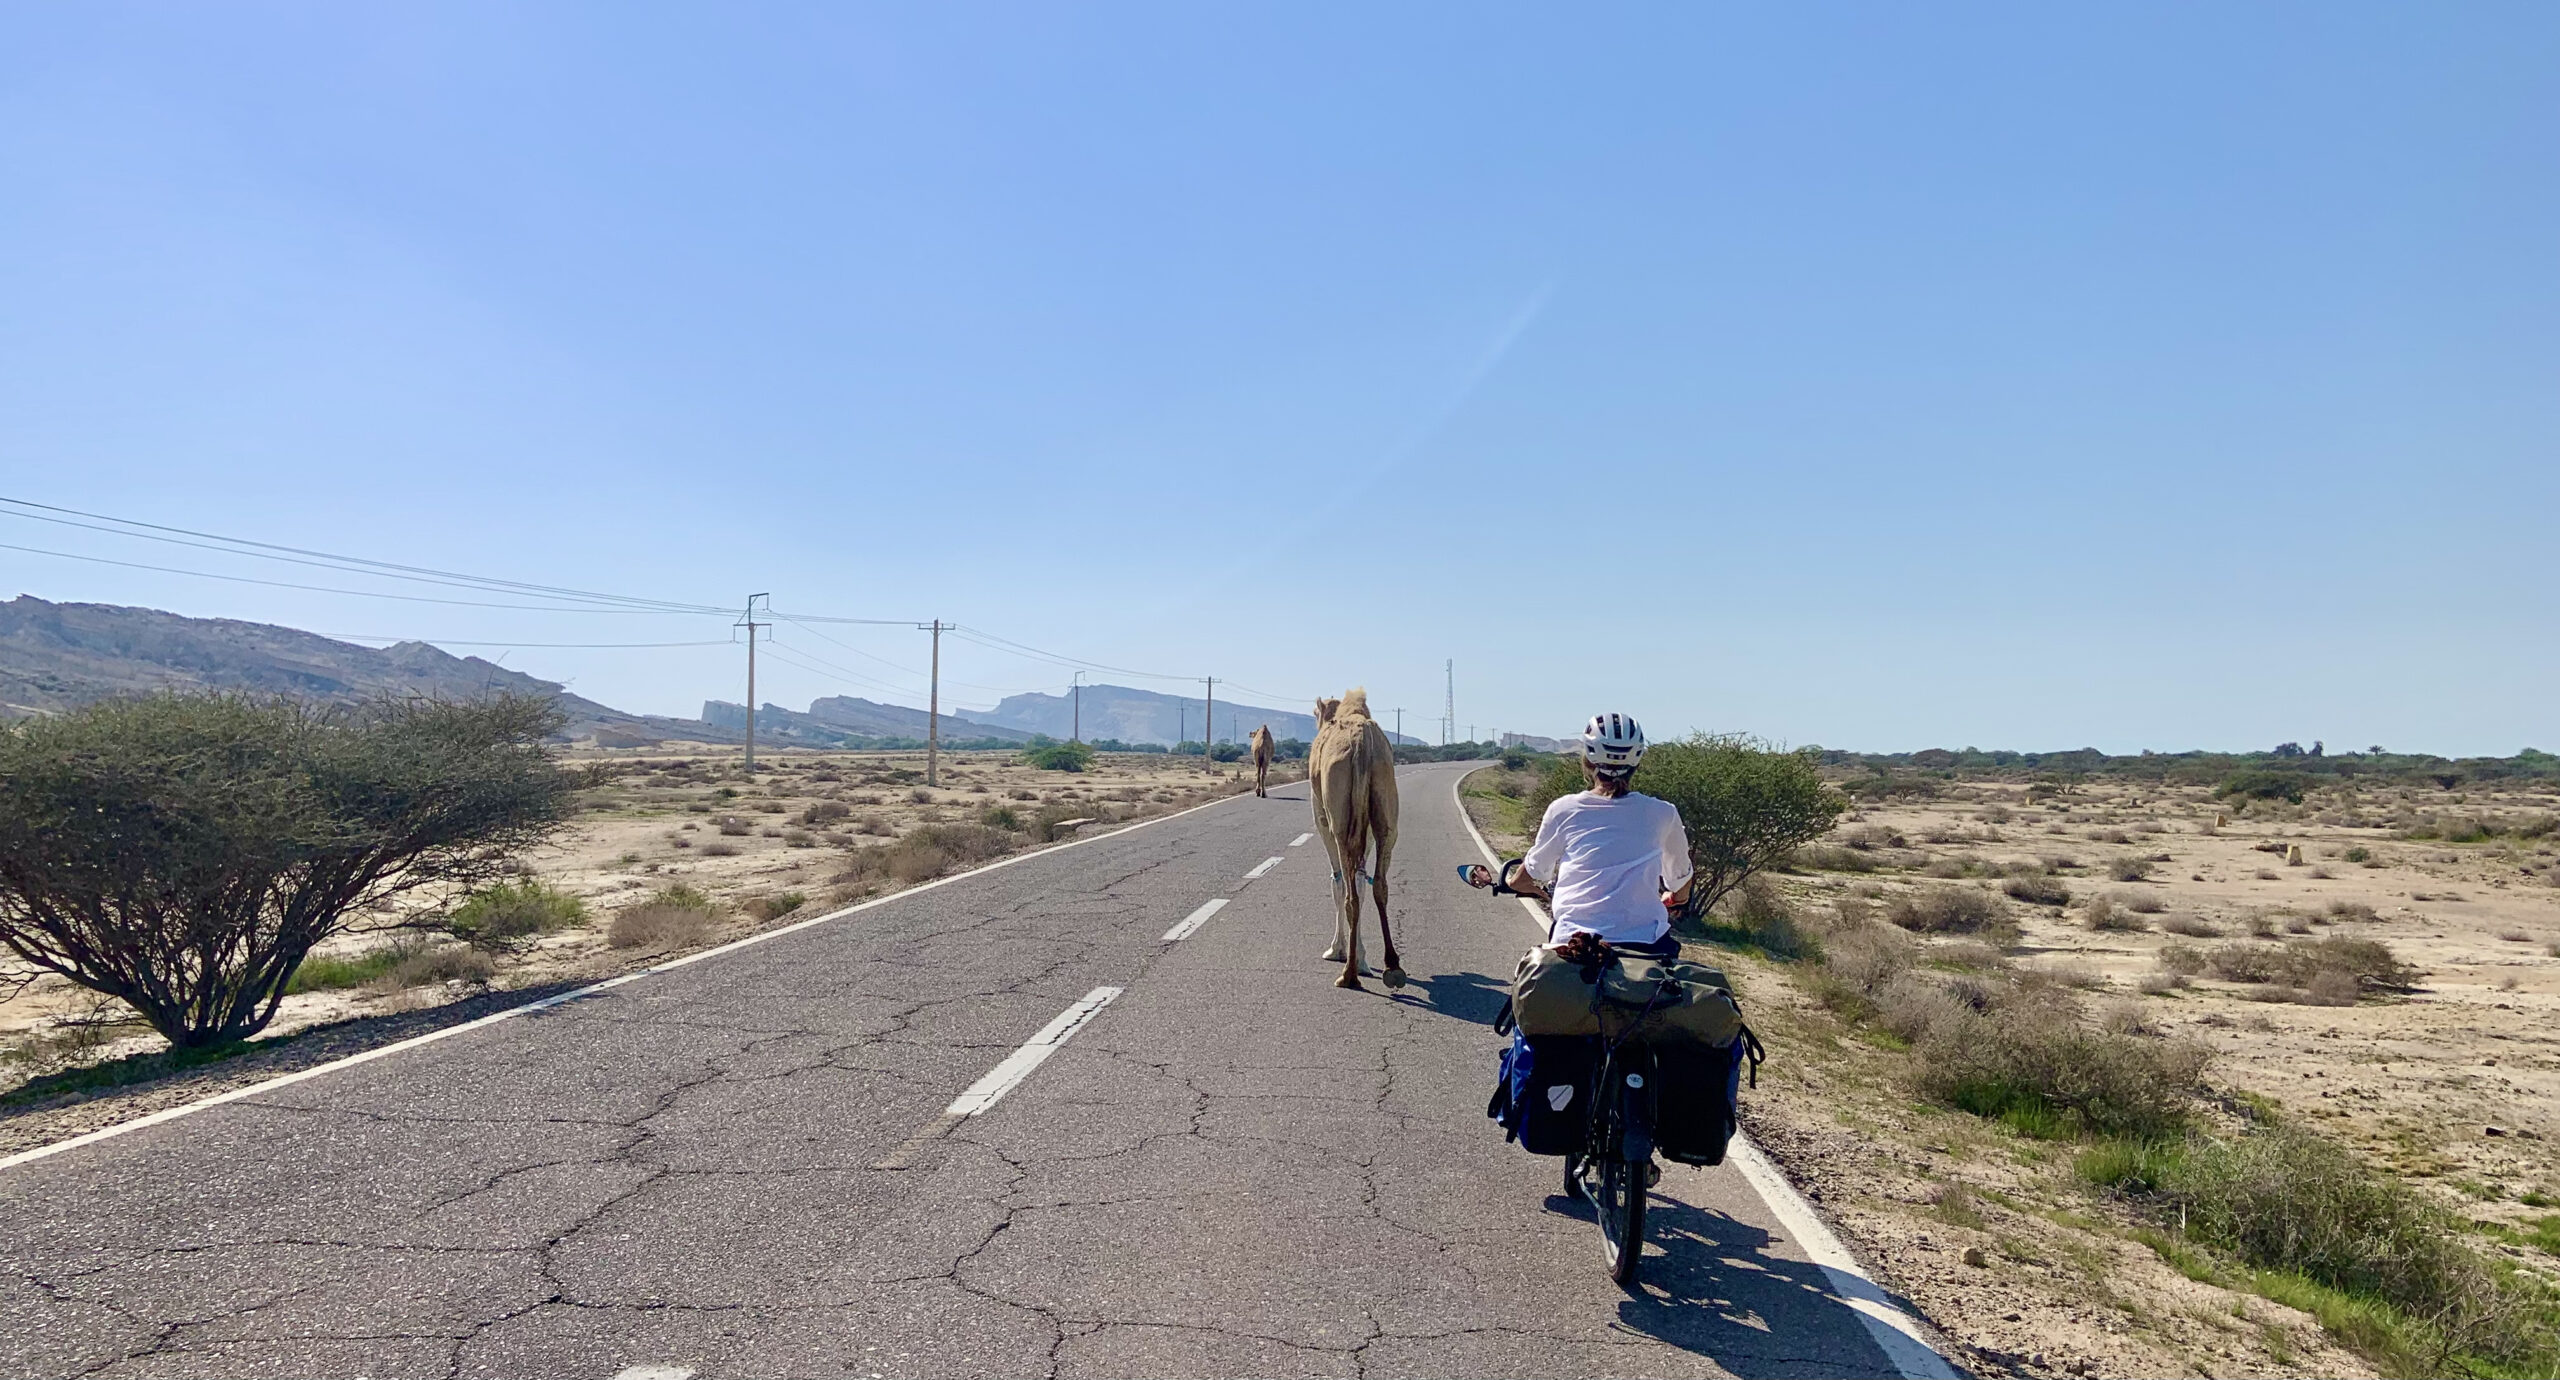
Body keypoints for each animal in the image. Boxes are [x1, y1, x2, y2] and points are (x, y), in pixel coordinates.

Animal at [1310, 691, 1413, 993]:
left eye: (1314, 713)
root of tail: (1362, 744)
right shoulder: (1365, 831)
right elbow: (1361, 880)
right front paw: (1364, 958)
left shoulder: (1322, 819)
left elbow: (1337, 882)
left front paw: (1336, 950)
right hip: (1386, 811)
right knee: (1378, 883)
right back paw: (1392, 966)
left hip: (1339, 822)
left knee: (1349, 893)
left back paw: (1348, 974)